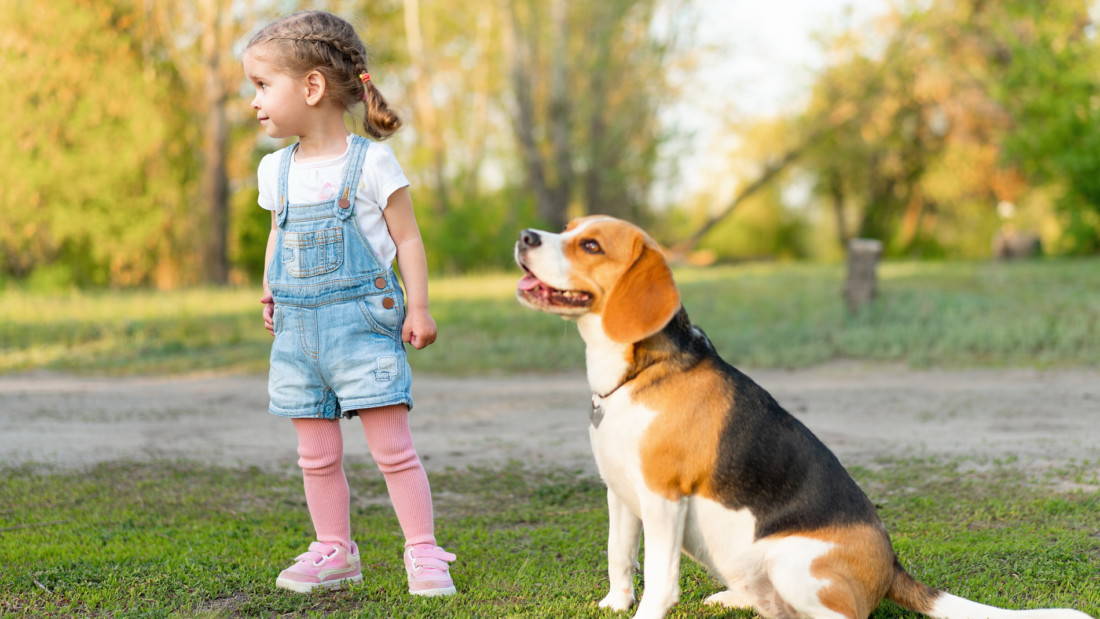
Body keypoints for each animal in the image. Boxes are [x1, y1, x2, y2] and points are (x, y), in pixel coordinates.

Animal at [510, 214, 1086, 619]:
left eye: (590, 245)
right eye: (567, 228)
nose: (524, 236)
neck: (638, 371)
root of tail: (892, 566)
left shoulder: (663, 498)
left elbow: (659, 576)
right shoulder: (620, 491)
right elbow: (619, 555)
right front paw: (614, 604)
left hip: (791, 561)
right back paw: (733, 599)